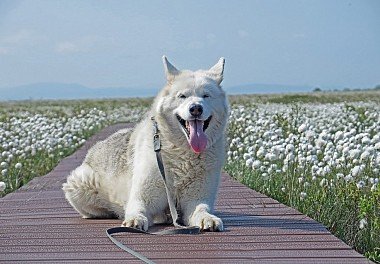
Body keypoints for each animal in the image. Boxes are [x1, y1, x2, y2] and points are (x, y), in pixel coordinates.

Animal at [62, 55, 229, 231]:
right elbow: (137, 210)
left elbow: (201, 210)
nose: (196, 108)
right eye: (182, 96)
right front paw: (135, 220)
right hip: (79, 184)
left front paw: (208, 219)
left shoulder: (196, 200)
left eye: (206, 96)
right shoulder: (141, 197)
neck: (182, 153)